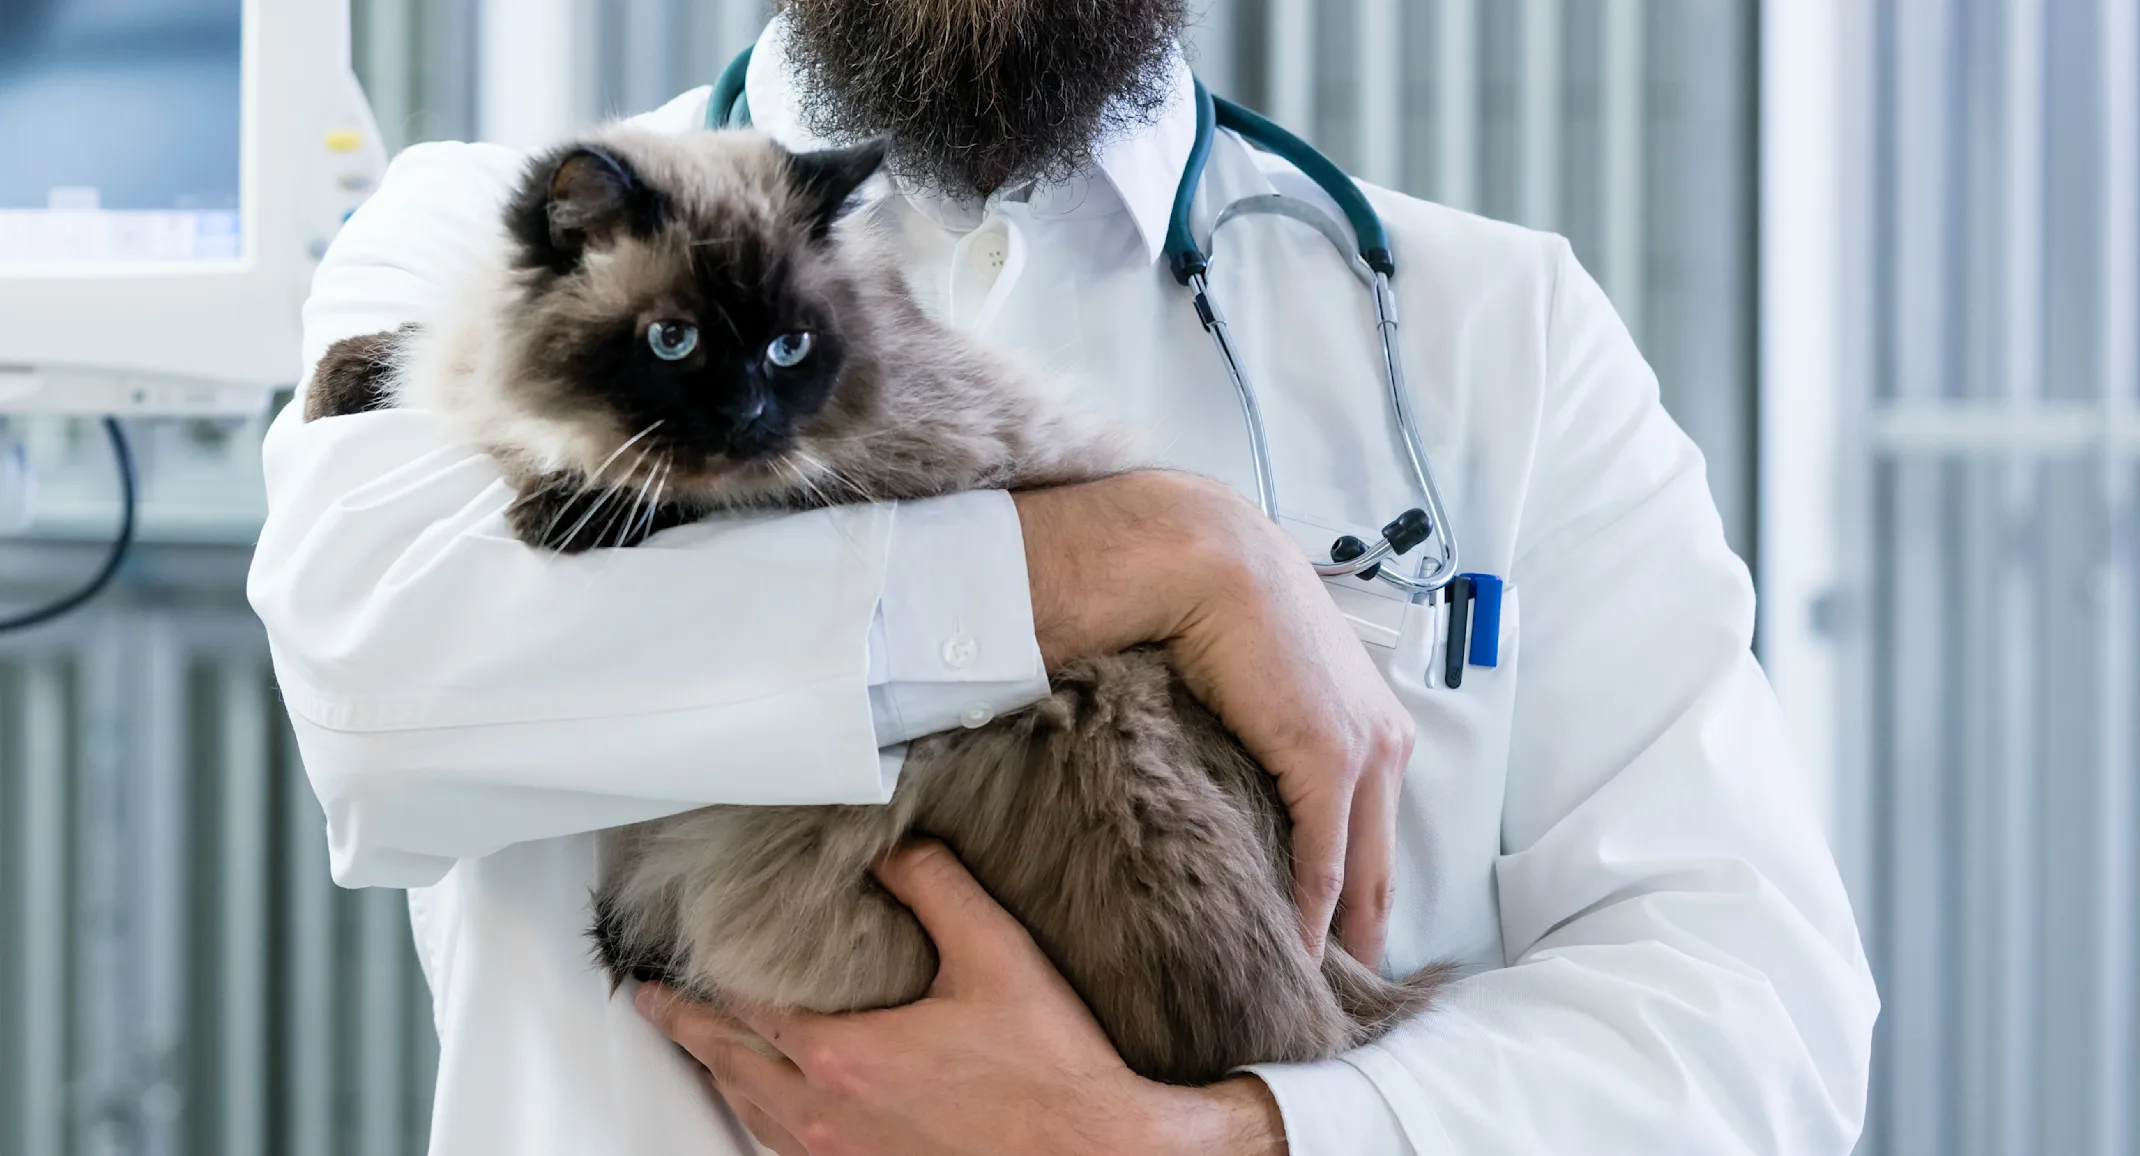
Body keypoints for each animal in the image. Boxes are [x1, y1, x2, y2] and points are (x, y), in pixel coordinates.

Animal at [310, 126, 1446, 1083]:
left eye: (788, 350)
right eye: (674, 342)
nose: (748, 419)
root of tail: (1338, 999)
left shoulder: (873, 466)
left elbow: (667, 490)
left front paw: (568, 509)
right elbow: (408, 361)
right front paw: (343, 385)